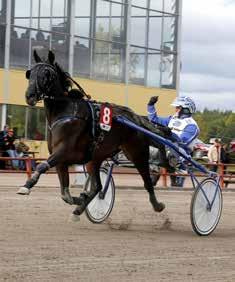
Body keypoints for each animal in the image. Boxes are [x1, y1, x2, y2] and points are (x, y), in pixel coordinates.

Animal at [17, 50, 170, 217]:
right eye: (30, 73)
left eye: (46, 73)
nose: (29, 96)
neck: (65, 113)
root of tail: (135, 118)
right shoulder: (62, 159)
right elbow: (65, 194)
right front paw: (80, 198)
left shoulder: (64, 151)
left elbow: (42, 166)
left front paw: (27, 185)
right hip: (95, 158)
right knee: (97, 187)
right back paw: (79, 209)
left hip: (137, 153)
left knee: (147, 180)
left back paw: (157, 205)